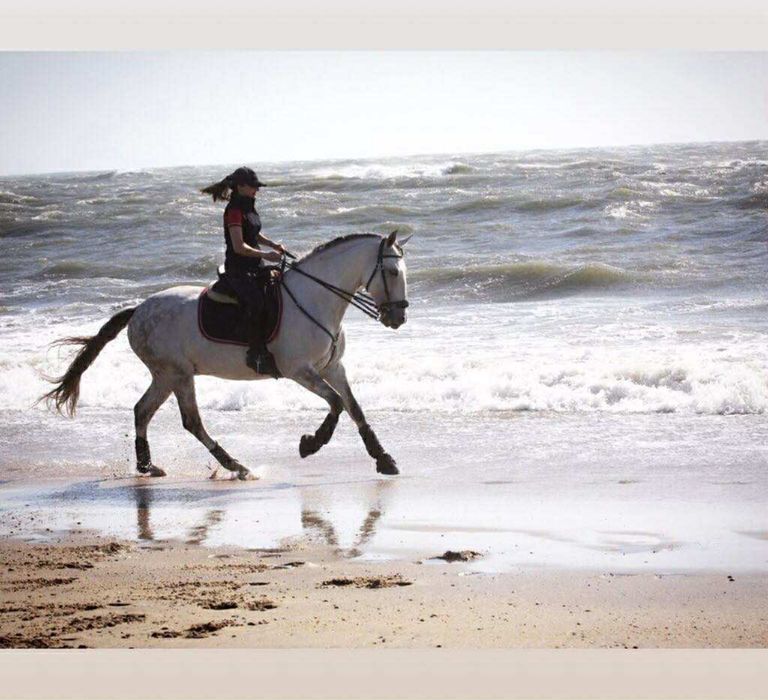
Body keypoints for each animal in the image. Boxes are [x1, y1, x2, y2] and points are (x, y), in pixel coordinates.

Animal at [42, 231, 410, 480]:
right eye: (393, 273)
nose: (398, 318)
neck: (316, 298)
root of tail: (137, 311)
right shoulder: (299, 370)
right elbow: (336, 403)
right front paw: (310, 443)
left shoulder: (333, 367)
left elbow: (353, 407)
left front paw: (384, 459)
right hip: (178, 374)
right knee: (190, 421)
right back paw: (236, 466)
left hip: (165, 375)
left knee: (142, 411)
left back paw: (148, 465)